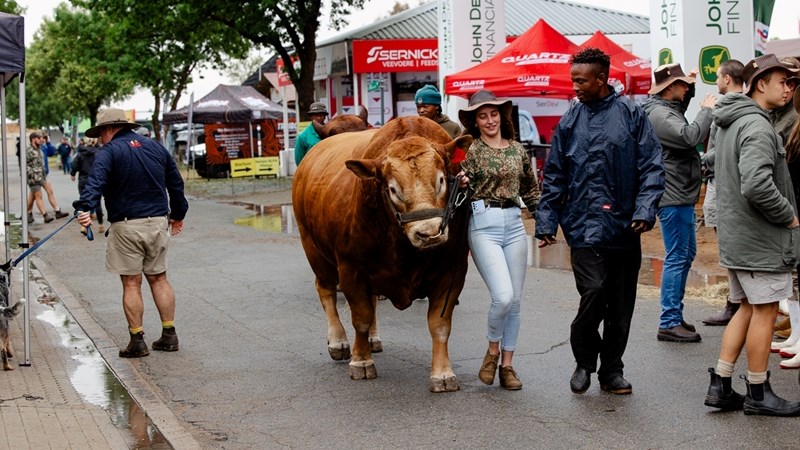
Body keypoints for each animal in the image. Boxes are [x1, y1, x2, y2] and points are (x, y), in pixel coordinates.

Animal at [292, 117, 468, 394]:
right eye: (393, 189)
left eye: (441, 180)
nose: (429, 233)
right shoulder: (351, 270)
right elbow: (360, 318)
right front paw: (361, 361)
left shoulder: (452, 271)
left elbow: (439, 325)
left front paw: (442, 373)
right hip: (313, 248)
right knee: (326, 291)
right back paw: (338, 341)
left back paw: (372, 338)